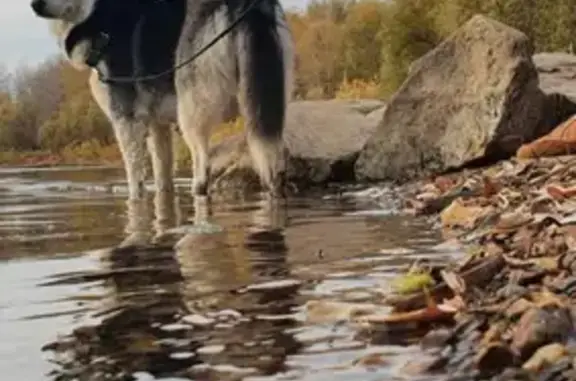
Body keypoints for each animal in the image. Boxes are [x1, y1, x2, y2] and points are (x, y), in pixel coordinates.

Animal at [29, 0, 294, 199]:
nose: (33, 5)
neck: (97, 11)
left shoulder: (126, 121)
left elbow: (135, 176)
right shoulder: (158, 126)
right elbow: (163, 176)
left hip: (191, 107)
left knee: (203, 163)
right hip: (266, 98)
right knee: (274, 158)